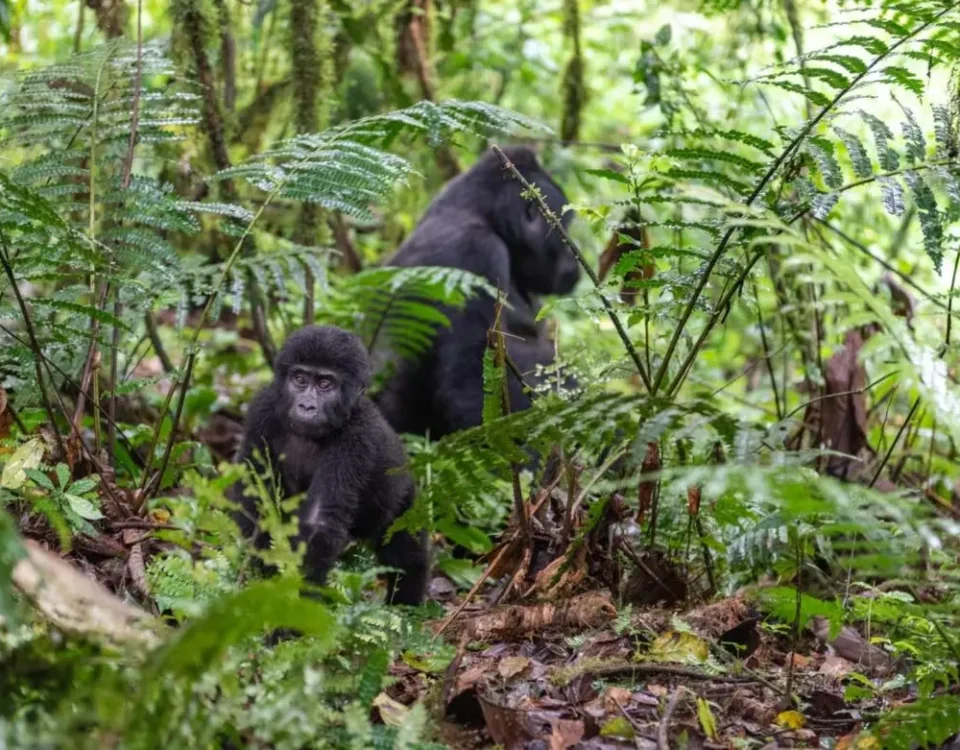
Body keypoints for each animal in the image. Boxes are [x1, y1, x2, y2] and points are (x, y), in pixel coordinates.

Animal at [232, 325, 428, 605]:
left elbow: (319, 523)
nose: (306, 406)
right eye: (300, 379)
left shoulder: (356, 437)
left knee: (407, 551)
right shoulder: (262, 410)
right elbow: (255, 498)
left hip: (404, 495)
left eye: (326, 385)